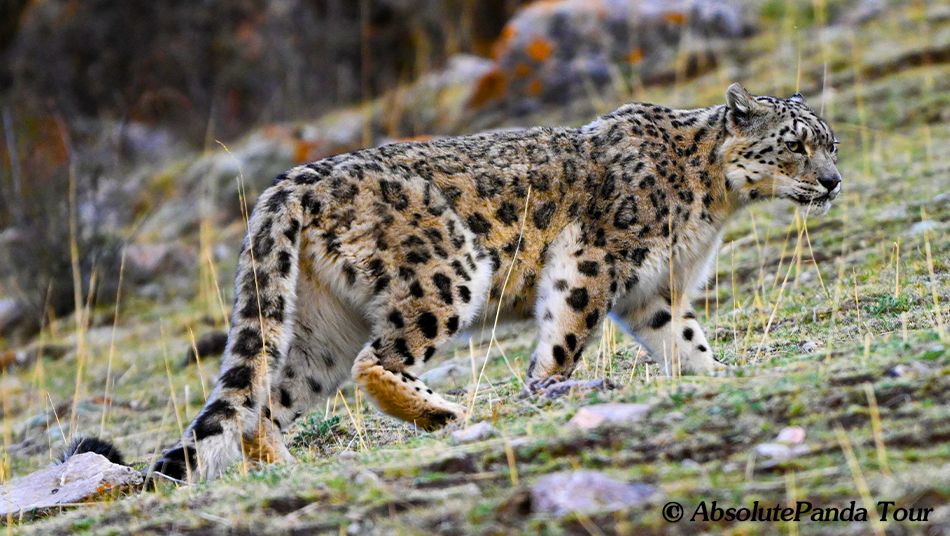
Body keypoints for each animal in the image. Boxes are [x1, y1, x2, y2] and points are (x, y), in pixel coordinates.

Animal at [148, 83, 840, 481]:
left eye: (830, 143)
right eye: (795, 145)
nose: (834, 181)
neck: (714, 203)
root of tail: (292, 181)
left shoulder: (656, 293)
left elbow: (686, 339)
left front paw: (716, 373)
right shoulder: (594, 260)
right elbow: (567, 331)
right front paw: (551, 387)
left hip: (319, 324)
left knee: (265, 401)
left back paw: (287, 469)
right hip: (449, 270)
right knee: (375, 360)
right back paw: (443, 411)